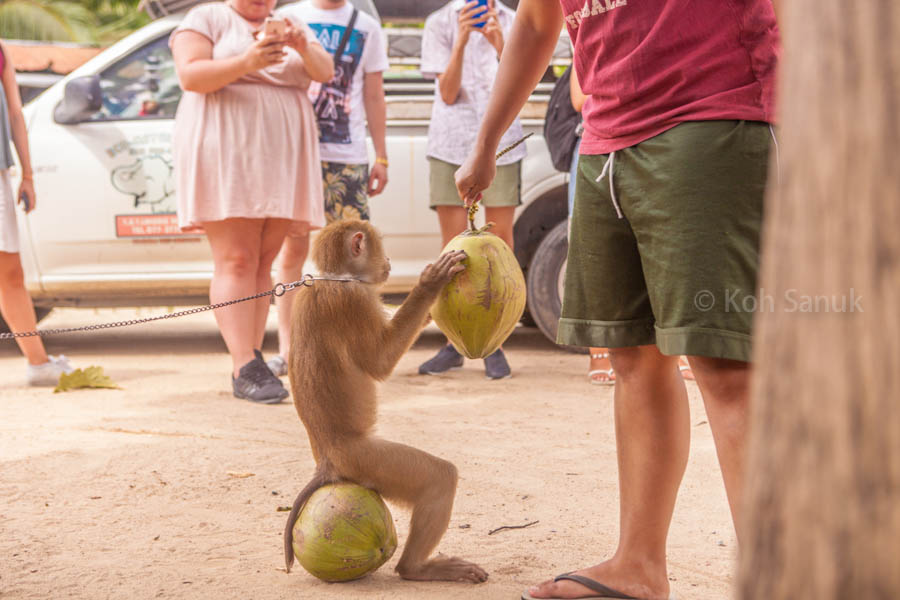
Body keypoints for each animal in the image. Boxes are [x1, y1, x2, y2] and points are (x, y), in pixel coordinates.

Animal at [284, 219, 488, 580]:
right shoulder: (354, 301)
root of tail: (328, 462)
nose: (390, 260)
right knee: (439, 478)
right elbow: (379, 363)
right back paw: (414, 568)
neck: (334, 279)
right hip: (366, 461)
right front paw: (429, 284)